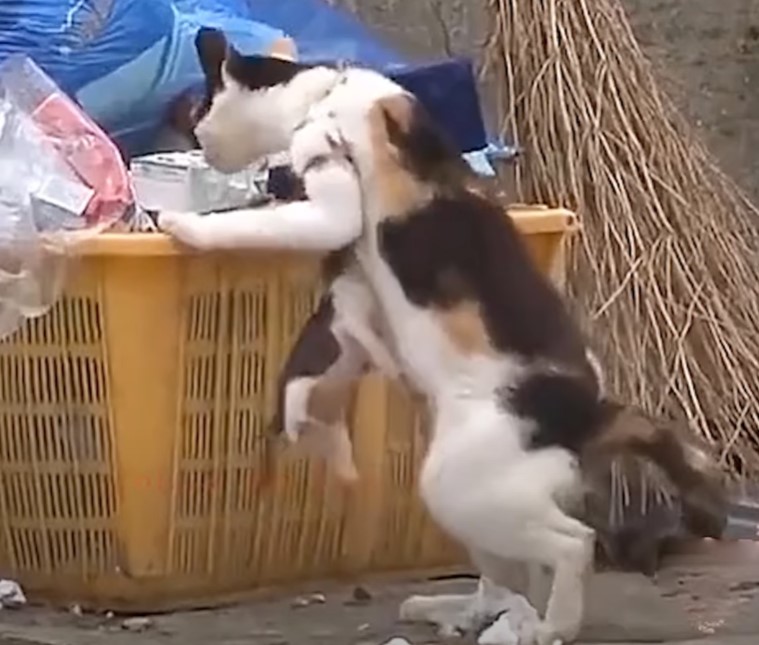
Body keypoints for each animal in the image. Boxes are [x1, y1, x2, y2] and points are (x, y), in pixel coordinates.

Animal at [157, 28, 728, 644]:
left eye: (197, 107)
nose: (194, 143)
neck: (327, 89)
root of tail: (589, 413)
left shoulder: (331, 199)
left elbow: (252, 225)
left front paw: (181, 225)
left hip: (456, 486)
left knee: (574, 545)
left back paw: (550, 626)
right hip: (480, 501)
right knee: (508, 577)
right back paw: (469, 613)